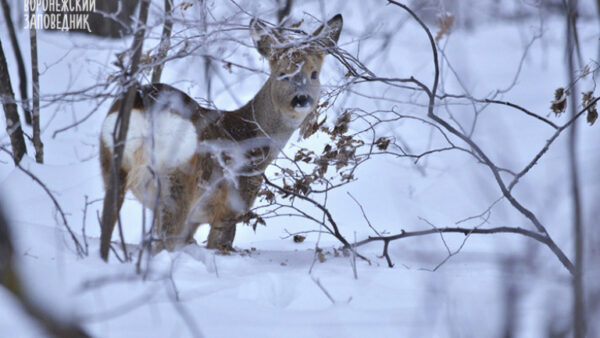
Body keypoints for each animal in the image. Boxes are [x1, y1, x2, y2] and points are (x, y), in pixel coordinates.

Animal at [98, 13, 342, 256]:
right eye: (282, 74)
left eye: (314, 74)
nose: (301, 99)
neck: (251, 138)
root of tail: (144, 106)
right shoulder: (231, 206)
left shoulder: (195, 219)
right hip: (178, 174)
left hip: (112, 160)